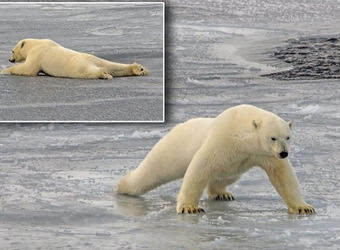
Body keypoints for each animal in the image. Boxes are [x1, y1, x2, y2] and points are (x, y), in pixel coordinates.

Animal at [0, 38, 148, 79]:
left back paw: (104, 74)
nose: (10, 59)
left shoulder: (37, 54)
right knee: (113, 65)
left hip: (78, 66)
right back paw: (139, 69)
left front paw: (4, 70)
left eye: (12, 51)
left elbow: (28, 69)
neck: (34, 44)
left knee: (89, 72)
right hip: (95, 58)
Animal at [117, 104, 316, 215]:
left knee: (226, 176)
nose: (284, 153)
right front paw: (190, 208)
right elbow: (200, 167)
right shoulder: (223, 139)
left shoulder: (262, 154)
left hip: (233, 166)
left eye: (288, 137)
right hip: (171, 148)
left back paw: (222, 193)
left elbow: (283, 175)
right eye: (272, 137)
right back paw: (122, 186)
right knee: (152, 172)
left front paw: (303, 208)